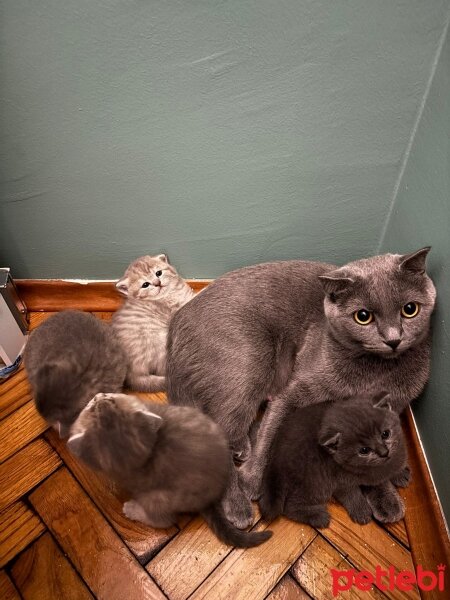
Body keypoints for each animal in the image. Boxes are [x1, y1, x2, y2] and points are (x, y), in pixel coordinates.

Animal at [256, 394, 408, 528]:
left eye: (385, 433)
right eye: (364, 450)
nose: (384, 452)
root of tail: (273, 459)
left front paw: (400, 473)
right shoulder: (340, 481)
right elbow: (351, 494)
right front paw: (361, 511)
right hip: (316, 482)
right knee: (290, 506)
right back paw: (317, 516)